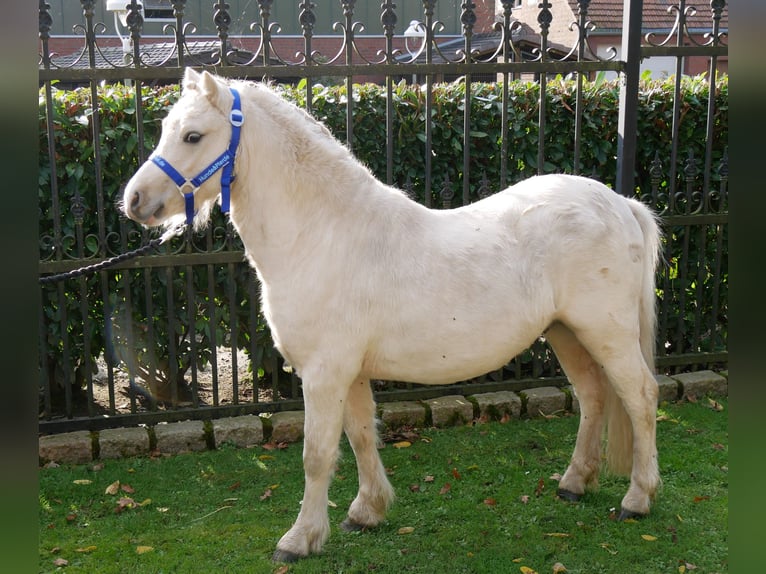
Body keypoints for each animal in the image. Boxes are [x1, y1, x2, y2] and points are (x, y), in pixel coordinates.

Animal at [123, 68, 664, 568]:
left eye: (193, 136)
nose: (133, 201)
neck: (322, 235)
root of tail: (620, 204)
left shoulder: (324, 373)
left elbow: (317, 455)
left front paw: (299, 540)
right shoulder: (351, 372)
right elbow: (362, 436)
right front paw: (367, 512)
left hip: (607, 333)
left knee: (639, 397)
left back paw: (637, 499)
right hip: (566, 332)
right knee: (593, 396)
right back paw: (574, 484)